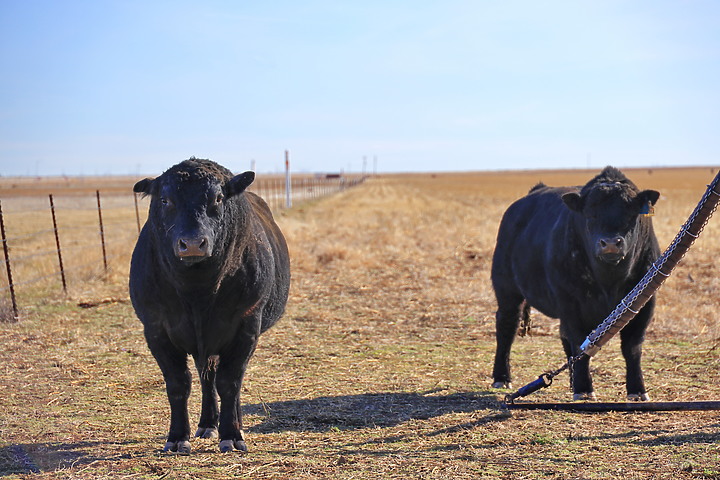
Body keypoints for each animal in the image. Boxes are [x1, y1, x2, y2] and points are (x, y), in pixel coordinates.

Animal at [129, 158, 290, 454]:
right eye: (165, 199)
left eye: (217, 198)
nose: (193, 243)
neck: (197, 291)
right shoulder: (155, 329)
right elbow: (178, 383)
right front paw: (177, 437)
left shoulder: (246, 326)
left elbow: (230, 382)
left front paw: (232, 435)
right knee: (207, 378)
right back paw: (207, 424)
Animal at [492, 167, 660, 400]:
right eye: (590, 214)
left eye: (631, 214)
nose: (610, 244)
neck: (609, 281)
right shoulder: (571, 304)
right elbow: (580, 344)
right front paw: (584, 389)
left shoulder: (644, 303)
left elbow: (632, 347)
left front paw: (637, 390)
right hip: (507, 290)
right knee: (507, 326)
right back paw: (502, 377)